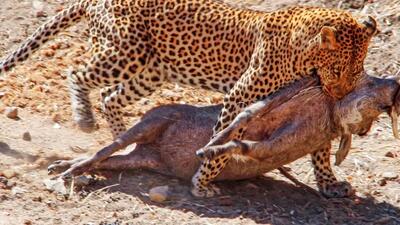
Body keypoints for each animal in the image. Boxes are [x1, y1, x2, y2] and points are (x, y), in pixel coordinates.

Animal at [0, 0, 376, 197]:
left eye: (356, 70)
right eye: (338, 69)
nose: (340, 95)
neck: (305, 53)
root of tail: (96, 0)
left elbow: (320, 149)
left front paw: (329, 185)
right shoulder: (241, 95)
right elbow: (220, 141)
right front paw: (202, 182)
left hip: (152, 69)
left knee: (110, 97)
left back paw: (121, 138)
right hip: (125, 52)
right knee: (77, 73)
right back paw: (85, 118)